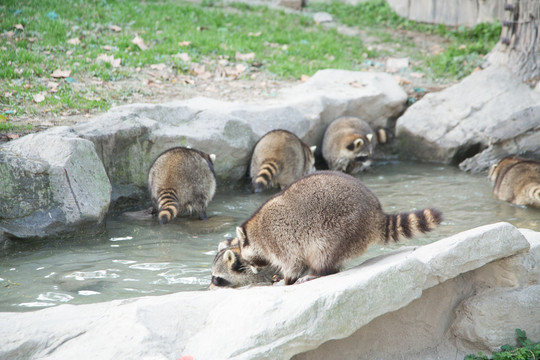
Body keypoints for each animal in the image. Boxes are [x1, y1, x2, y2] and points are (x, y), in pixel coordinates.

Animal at [234, 170, 440, 286]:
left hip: (341, 229)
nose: (253, 270)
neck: (256, 231)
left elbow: (293, 262)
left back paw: (318, 273)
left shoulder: (280, 238)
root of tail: (376, 214)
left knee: (323, 254)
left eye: (246, 258)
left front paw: (287, 279)